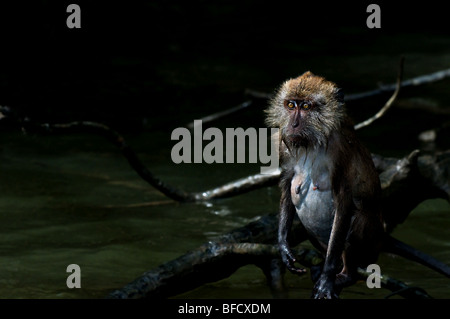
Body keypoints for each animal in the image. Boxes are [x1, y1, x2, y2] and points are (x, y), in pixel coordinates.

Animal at [266, 71, 384, 298]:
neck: (313, 143)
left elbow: (344, 204)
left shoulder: (341, 152)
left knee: (357, 220)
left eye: (306, 106)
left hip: (370, 244)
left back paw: (344, 274)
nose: (293, 125)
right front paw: (283, 246)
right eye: (291, 105)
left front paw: (327, 278)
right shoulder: (285, 145)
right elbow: (287, 186)